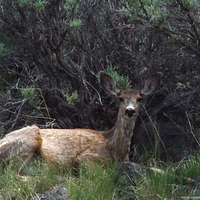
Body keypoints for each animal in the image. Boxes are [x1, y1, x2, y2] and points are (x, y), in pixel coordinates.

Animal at [0, 71, 162, 172]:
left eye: (139, 99)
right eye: (120, 98)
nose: (129, 110)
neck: (116, 150)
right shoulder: (85, 158)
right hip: (28, 140)